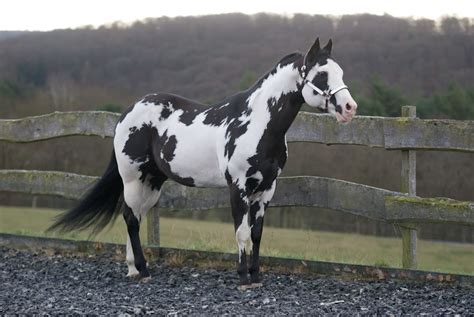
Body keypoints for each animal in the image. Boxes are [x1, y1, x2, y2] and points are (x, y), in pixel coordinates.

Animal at [51, 38, 356, 288]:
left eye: (340, 72)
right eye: (322, 75)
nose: (349, 108)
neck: (257, 123)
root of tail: (128, 113)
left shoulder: (267, 188)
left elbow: (257, 233)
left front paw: (256, 276)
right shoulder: (238, 187)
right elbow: (242, 233)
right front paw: (243, 278)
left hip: (151, 183)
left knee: (134, 216)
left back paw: (134, 269)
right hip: (132, 179)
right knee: (130, 217)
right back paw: (143, 270)